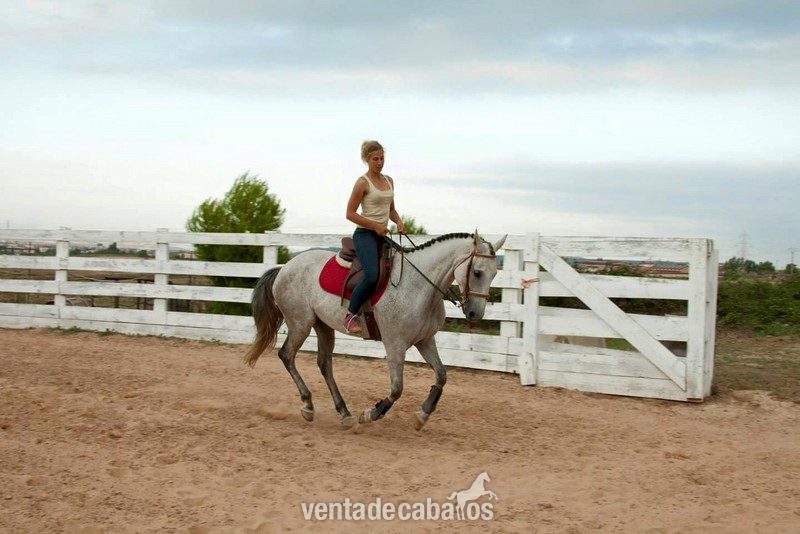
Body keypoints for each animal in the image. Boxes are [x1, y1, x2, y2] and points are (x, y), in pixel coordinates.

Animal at [244, 230, 506, 430]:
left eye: (494, 274)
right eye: (477, 272)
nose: (475, 314)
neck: (419, 285)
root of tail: (284, 267)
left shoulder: (425, 340)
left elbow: (442, 375)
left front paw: (423, 414)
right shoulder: (395, 344)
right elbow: (397, 389)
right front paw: (372, 413)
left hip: (323, 326)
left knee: (324, 364)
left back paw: (344, 412)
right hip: (300, 323)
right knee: (287, 355)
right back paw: (308, 406)